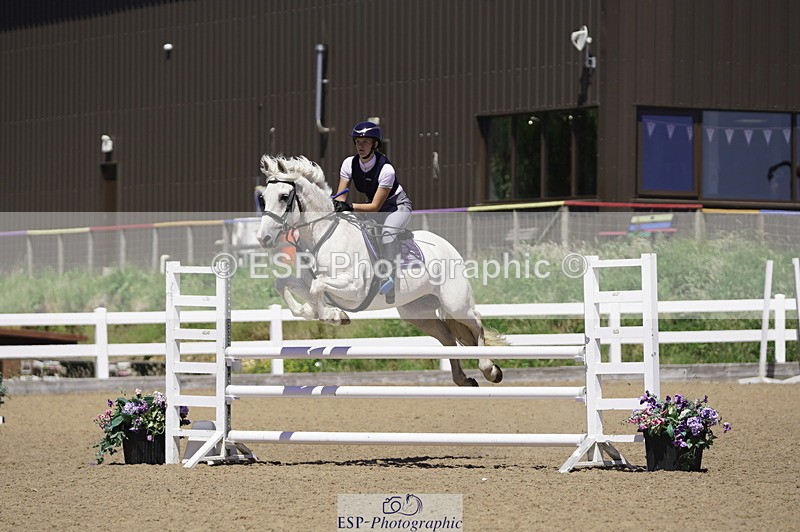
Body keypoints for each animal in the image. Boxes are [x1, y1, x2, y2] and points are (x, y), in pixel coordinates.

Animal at [255, 155, 503, 387]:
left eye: (284, 197)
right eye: (263, 198)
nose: (263, 238)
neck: (324, 235)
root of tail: (447, 245)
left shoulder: (354, 287)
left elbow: (318, 287)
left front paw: (331, 316)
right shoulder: (309, 283)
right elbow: (285, 285)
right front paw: (320, 312)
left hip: (455, 303)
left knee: (476, 322)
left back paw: (490, 369)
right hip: (417, 311)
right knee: (448, 338)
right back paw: (463, 379)